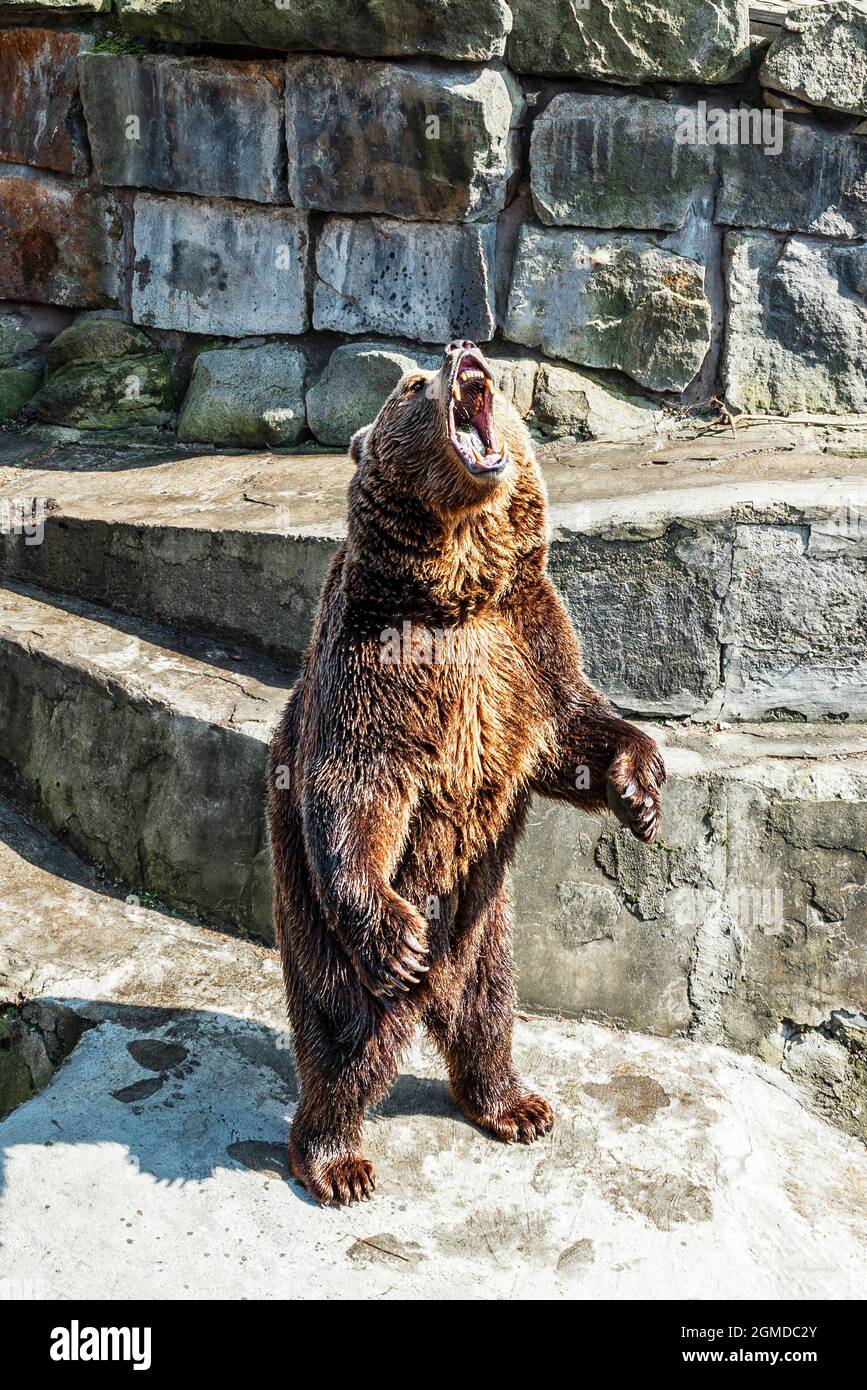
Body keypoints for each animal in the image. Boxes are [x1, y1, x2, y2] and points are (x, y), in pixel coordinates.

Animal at [268, 339, 666, 1206]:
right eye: (412, 385)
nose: (462, 349)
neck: (457, 593)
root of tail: (434, 995)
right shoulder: (376, 654)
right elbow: (357, 784)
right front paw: (392, 932)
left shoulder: (525, 643)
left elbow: (569, 733)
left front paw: (640, 789)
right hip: (316, 921)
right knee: (345, 1040)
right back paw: (335, 1158)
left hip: (486, 927)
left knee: (489, 1016)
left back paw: (514, 1103)